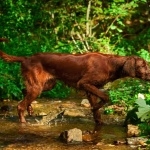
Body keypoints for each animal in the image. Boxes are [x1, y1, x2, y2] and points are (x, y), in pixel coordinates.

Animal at [0, 39, 150, 124]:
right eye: (142, 65)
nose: (149, 74)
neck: (111, 64)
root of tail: (26, 58)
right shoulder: (84, 83)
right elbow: (106, 96)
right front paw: (94, 108)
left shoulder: (90, 88)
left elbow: (97, 111)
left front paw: (98, 121)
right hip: (38, 87)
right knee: (20, 105)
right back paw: (23, 121)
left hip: (46, 85)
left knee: (24, 91)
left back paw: (30, 108)